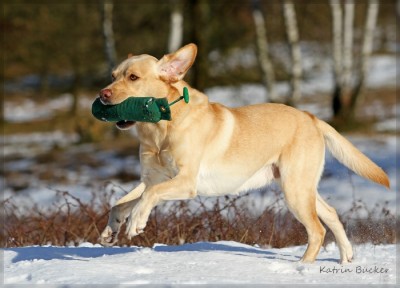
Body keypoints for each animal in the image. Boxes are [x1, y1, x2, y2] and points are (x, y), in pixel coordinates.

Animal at [98, 43, 390, 264]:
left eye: (133, 77)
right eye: (112, 76)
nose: (103, 94)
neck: (160, 129)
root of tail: (311, 117)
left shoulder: (186, 182)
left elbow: (148, 197)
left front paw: (136, 221)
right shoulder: (152, 178)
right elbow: (122, 202)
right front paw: (112, 229)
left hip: (294, 190)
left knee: (317, 230)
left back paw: (302, 268)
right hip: (301, 187)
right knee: (332, 214)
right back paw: (345, 257)